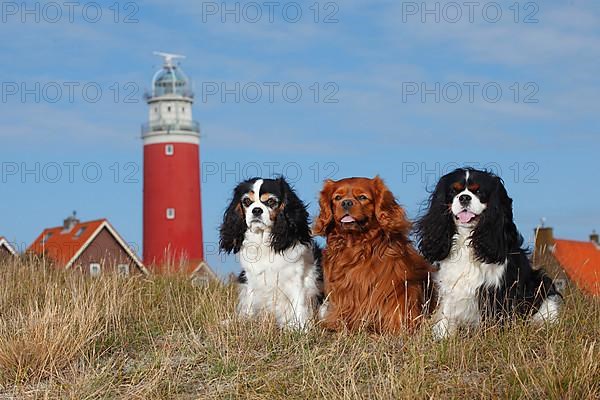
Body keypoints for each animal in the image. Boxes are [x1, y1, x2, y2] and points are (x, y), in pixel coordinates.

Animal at [219, 177, 322, 330]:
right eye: (247, 201)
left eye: (271, 201)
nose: (256, 210)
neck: (263, 241)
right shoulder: (251, 280)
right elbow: (250, 303)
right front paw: (245, 322)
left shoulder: (297, 280)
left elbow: (299, 304)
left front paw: (300, 328)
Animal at [414, 167, 560, 340]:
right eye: (453, 191)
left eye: (479, 192)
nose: (464, 197)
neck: (468, 238)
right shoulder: (451, 288)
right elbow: (447, 317)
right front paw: (443, 338)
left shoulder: (498, 291)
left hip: (541, 284)